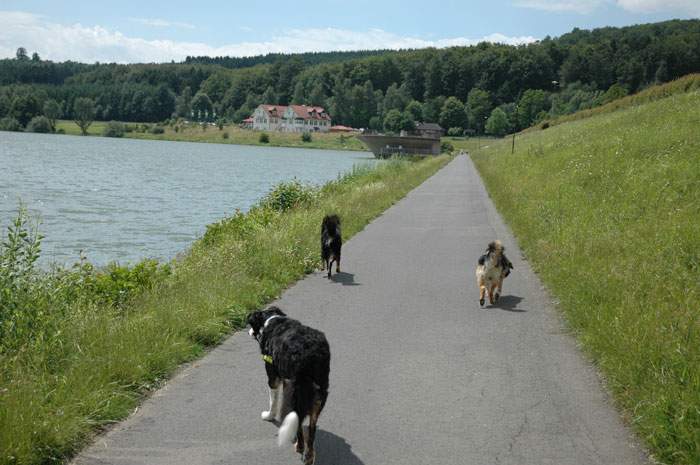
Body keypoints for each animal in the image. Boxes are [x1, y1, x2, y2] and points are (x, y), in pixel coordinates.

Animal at [249, 306, 330, 462]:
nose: (249, 331)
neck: (272, 320)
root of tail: (310, 355)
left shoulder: (273, 378)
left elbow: (273, 402)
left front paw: (269, 416)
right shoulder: (286, 380)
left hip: (297, 391)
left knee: (298, 420)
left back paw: (299, 446)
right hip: (320, 391)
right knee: (312, 428)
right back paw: (309, 455)